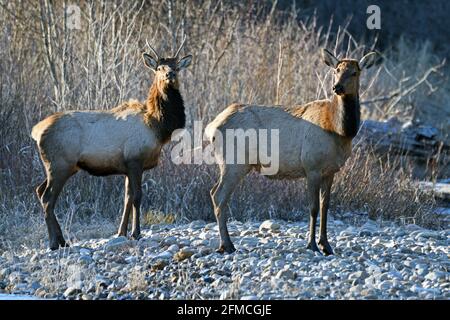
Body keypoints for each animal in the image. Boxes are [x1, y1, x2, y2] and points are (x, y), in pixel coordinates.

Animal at [31, 38, 193, 250]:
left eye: (176, 67)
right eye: (159, 67)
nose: (170, 74)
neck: (157, 127)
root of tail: (36, 131)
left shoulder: (127, 167)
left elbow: (127, 198)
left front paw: (121, 232)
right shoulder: (135, 160)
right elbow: (137, 197)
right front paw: (136, 233)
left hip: (58, 167)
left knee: (39, 190)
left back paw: (61, 241)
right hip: (59, 164)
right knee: (48, 198)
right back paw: (54, 242)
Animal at [206, 48, 378, 255]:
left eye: (354, 72)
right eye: (336, 70)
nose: (337, 87)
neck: (339, 131)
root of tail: (211, 127)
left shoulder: (330, 171)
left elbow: (325, 206)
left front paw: (326, 245)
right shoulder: (312, 167)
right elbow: (313, 207)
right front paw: (312, 245)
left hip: (232, 164)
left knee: (214, 192)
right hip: (234, 162)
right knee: (218, 196)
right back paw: (227, 245)